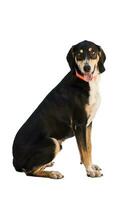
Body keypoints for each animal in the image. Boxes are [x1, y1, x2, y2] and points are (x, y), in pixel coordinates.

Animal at [12, 40, 107, 178]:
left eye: (93, 53)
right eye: (79, 54)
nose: (87, 68)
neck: (85, 82)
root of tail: (15, 160)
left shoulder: (88, 124)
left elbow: (88, 147)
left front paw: (91, 166)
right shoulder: (80, 124)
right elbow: (84, 150)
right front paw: (90, 170)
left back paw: (48, 165)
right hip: (53, 142)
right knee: (29, 171)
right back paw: (53, 173)